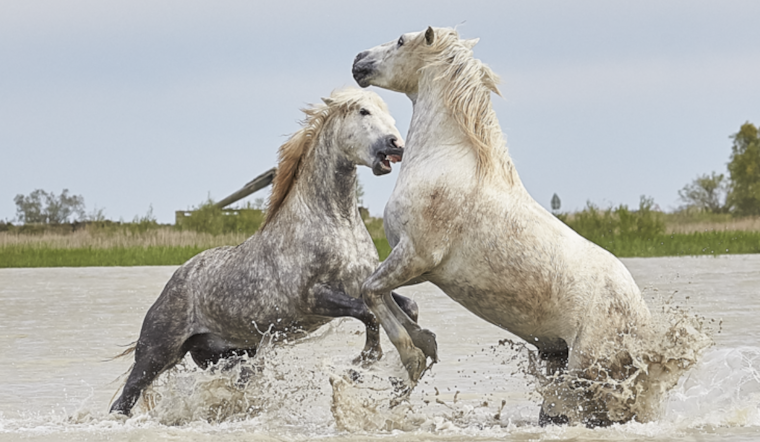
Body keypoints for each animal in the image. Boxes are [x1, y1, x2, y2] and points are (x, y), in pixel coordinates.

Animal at [110, 87, 417, 416]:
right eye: (363, 111)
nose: (396, 145)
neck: (336, 223)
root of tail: (176, 279)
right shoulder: (312, 298)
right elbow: (367, 313)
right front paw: (364, 360)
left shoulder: (363, 284)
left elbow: (407, 307)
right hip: (156, 355)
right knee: (123, 401)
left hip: (227, 354)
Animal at [352, 27, 654, 426]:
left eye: (401, 40)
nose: (358, 61)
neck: (445, 161)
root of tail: (640, 319)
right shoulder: (415, 266)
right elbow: (382, 292)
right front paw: (425, 344)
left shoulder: (416, 256)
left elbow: (370, 290)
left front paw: (413, 358)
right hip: (556, 357)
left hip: (585, 373)